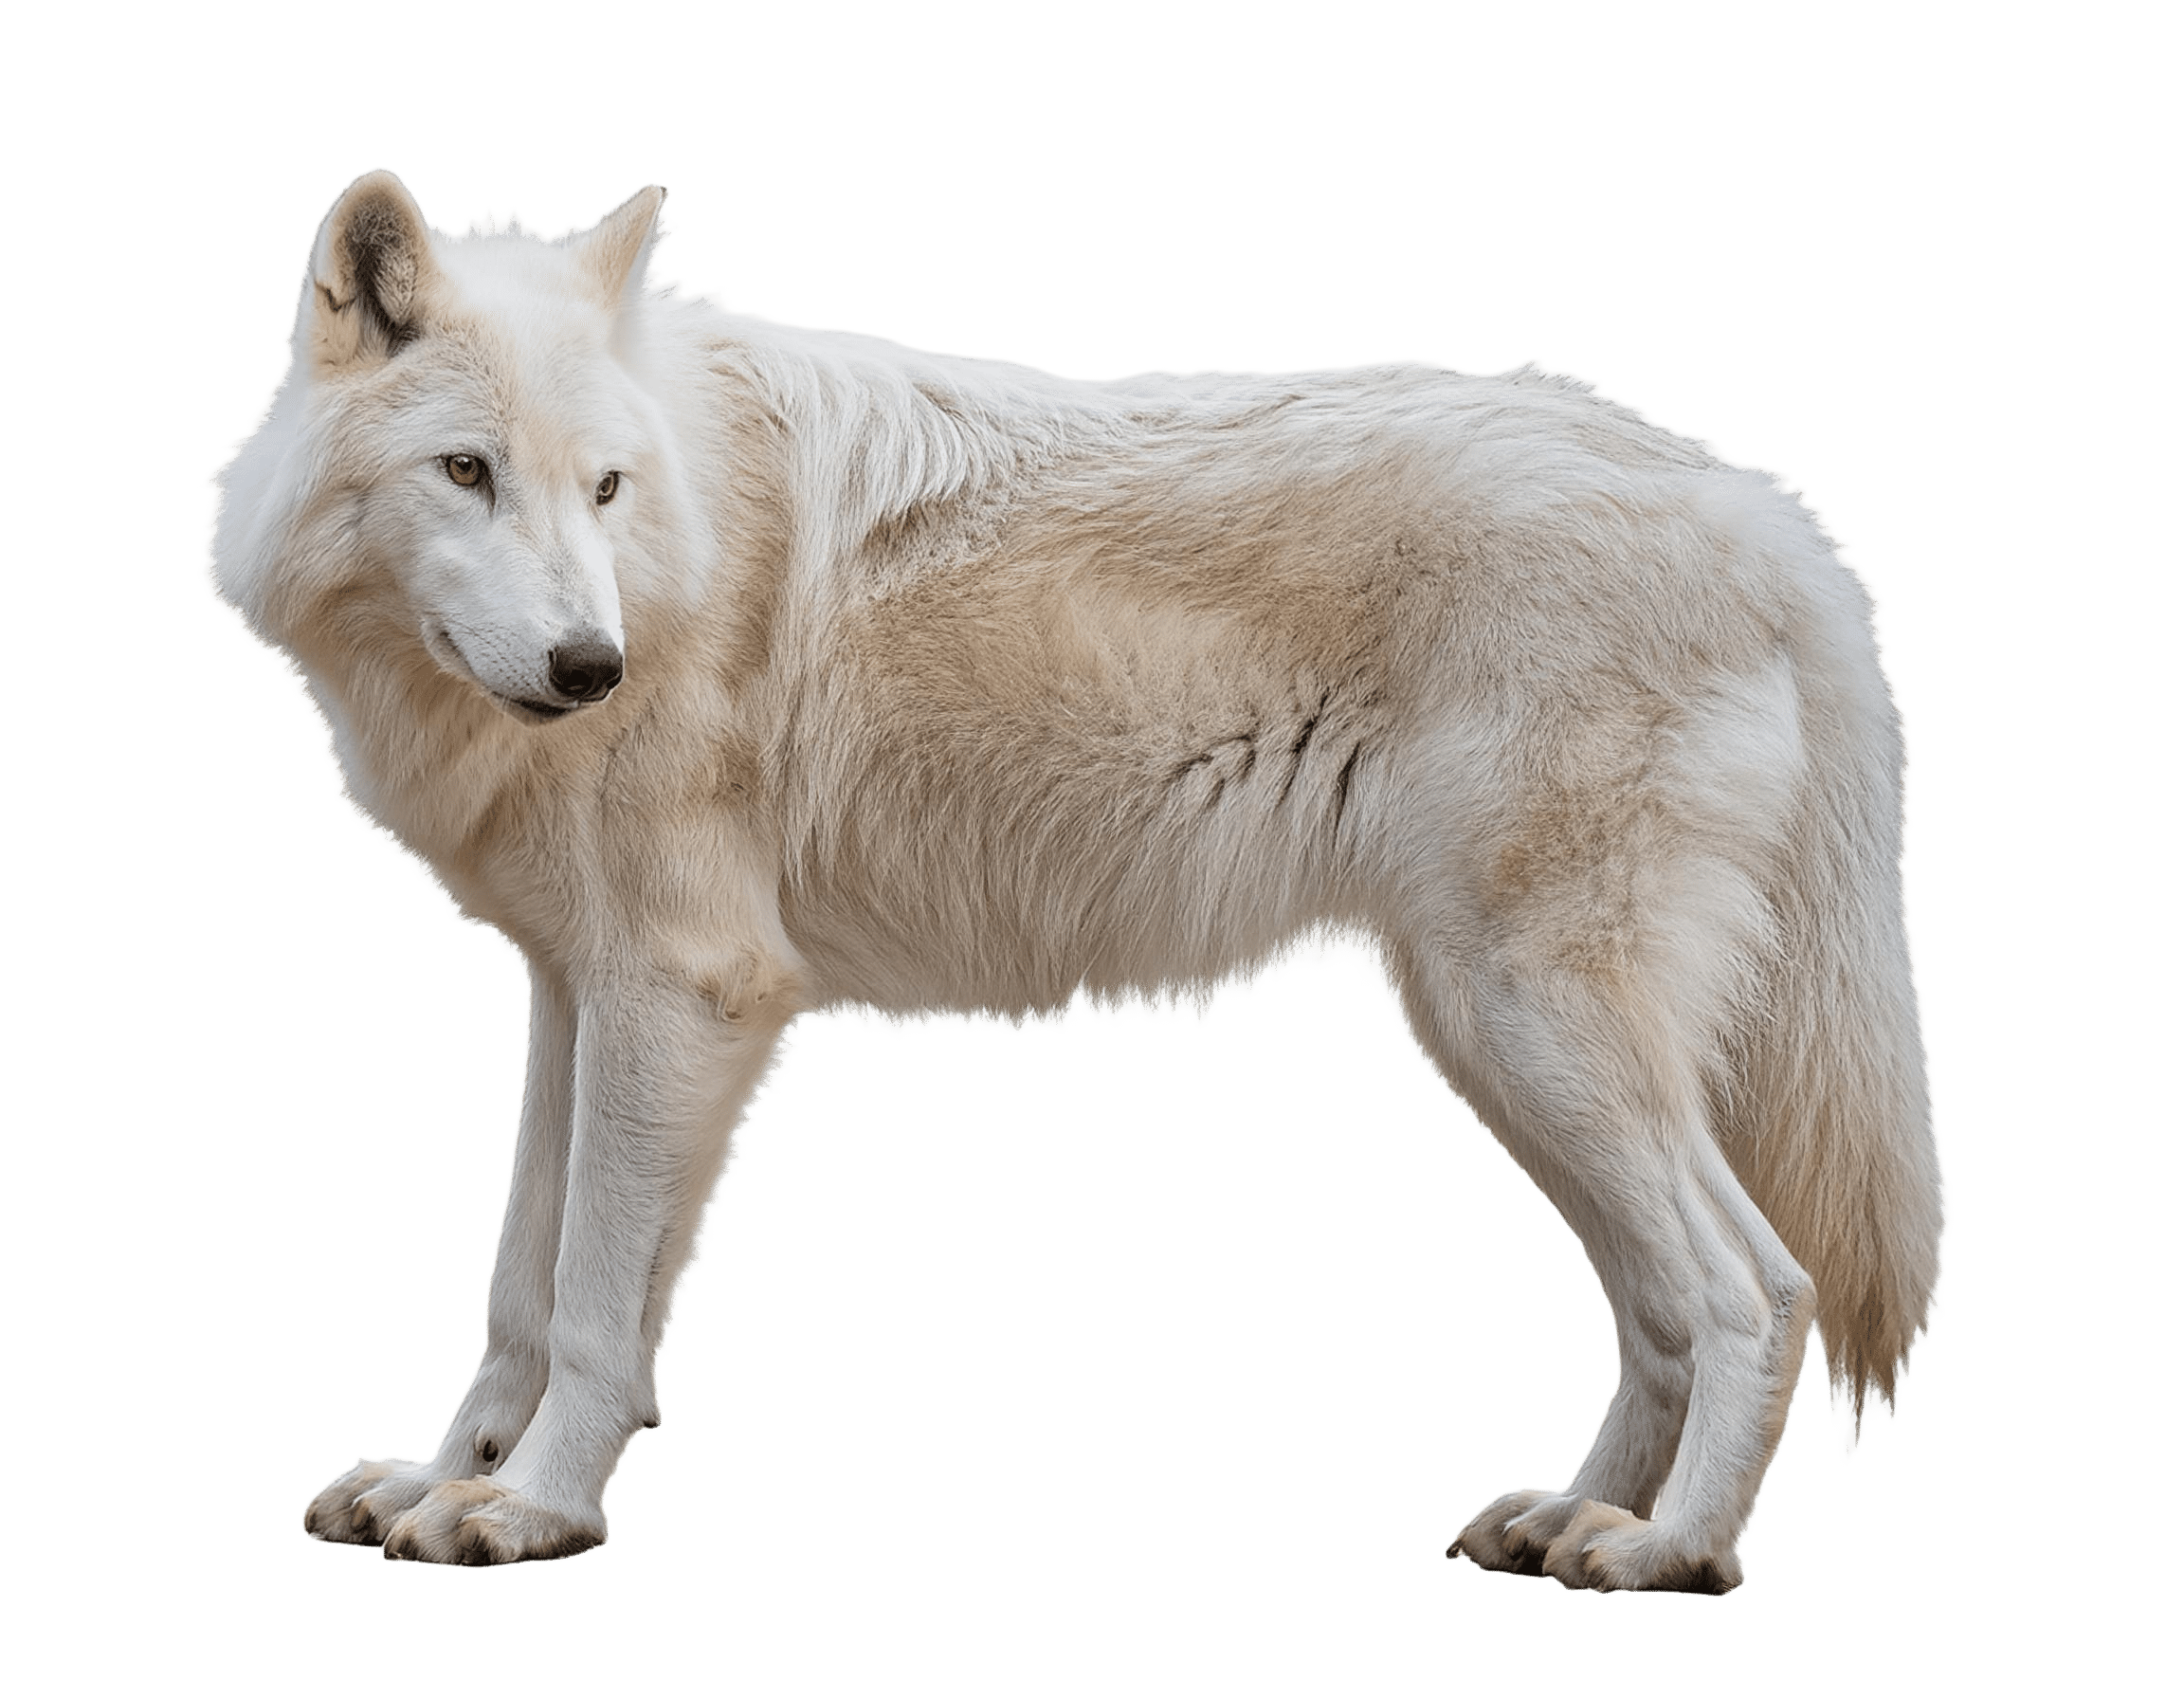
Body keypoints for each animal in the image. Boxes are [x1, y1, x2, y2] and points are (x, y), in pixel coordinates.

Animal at [212, 172, 1941, 1589]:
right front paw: (441, 1480)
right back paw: (1572, 1516)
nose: (590, 668)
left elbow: (586, 1301)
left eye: (604, 487)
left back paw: (1669, 1552)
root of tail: (1762, 509)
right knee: (1656, 1307)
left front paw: (537, 1512)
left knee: (1752, 1286)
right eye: (466, 471)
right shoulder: (576, 991)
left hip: (1534, 1024)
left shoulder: (683, 994)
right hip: (1491, 1039)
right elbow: (518, 1284)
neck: (677, 556)